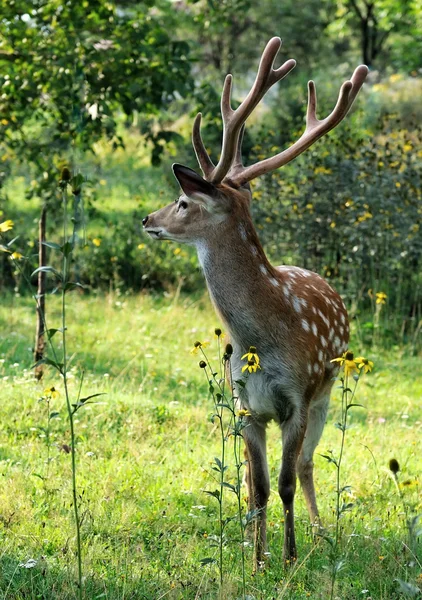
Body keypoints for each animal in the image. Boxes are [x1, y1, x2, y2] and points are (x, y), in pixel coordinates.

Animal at [142, 35, 366, 568]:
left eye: (183, 202)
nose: (146, 219)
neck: (261, 340)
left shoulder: (296, 401)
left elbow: (283, 483)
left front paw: (287, 557)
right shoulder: (247, 407)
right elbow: (260, 487)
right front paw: (257, 559)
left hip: (326, 394)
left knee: (306, 466)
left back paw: (321, 534)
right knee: (251, 478)